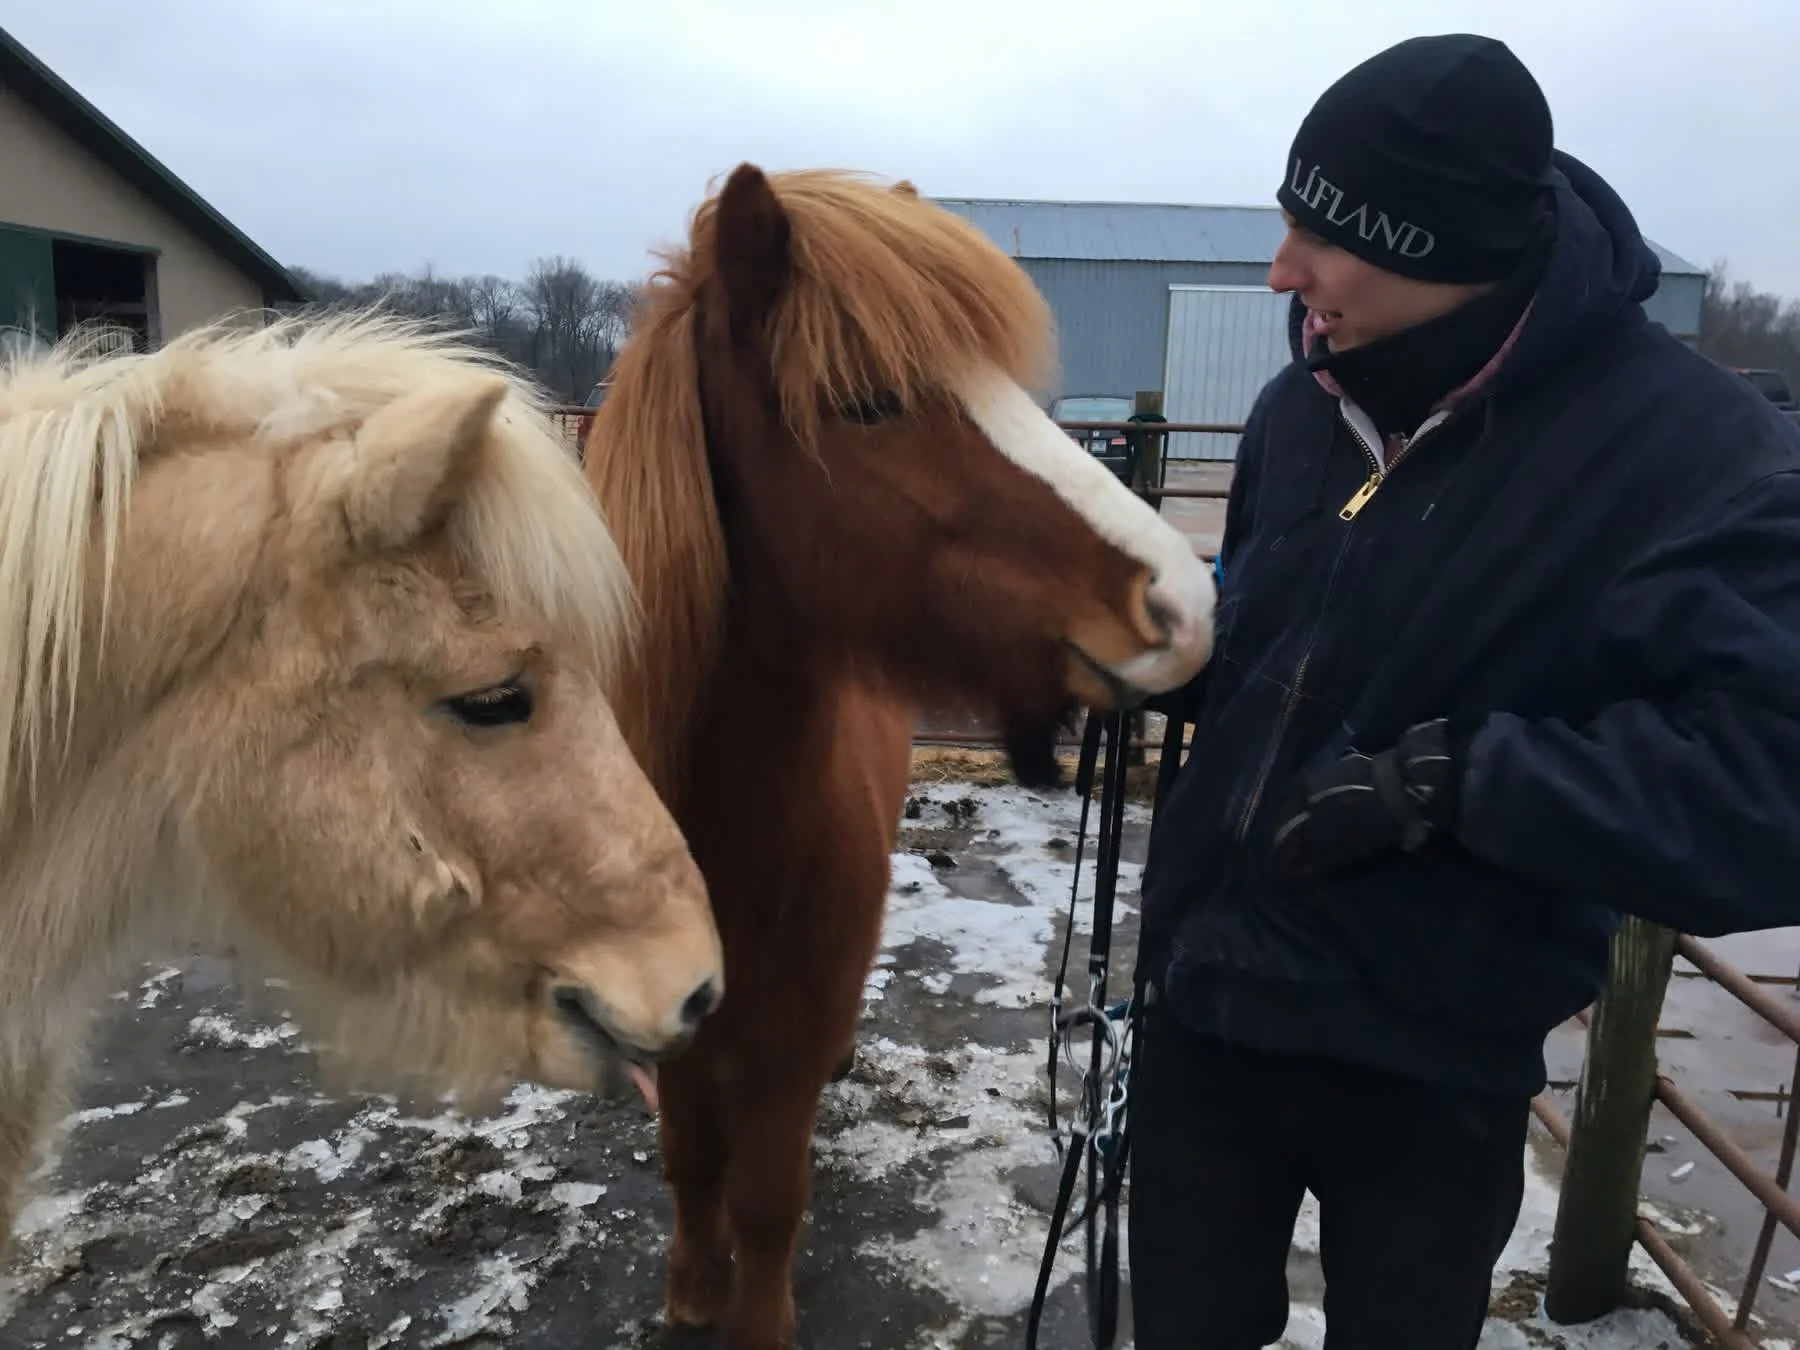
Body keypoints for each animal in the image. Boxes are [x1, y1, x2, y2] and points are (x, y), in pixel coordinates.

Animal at [582, 163, 1216, 1348]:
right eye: (870, 402)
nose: (1185, 603)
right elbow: (691, 1160)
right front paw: (693, 1291)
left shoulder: (791, 1036)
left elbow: (766, 1194)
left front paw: (753, 1314)